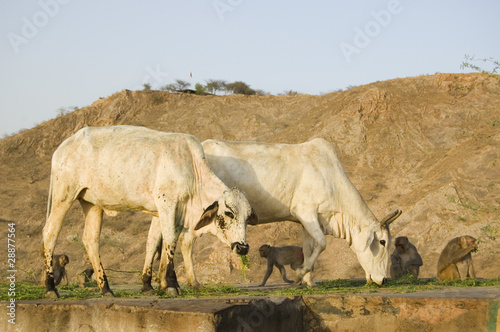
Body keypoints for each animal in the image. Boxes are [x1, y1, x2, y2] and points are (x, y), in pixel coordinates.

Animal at [42, 127, 258, 298]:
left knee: (90, 240)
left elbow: (154, 242)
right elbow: (169, 240)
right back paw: (51, 288)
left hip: (92, 203)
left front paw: (149, 285)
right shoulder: (167, 204)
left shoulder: (169, 212)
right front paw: (171, 284)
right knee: (50, 233)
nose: (243, 248)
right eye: (229, 213)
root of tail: (64, 147)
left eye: (248, 217)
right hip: (63, 196)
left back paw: (106, 288)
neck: (192, 170)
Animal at [146, 137, 402, 286]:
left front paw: (308, 282)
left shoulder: (307, 221)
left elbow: (309, 248)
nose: (383, 279)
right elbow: (321, 244)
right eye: (382, 242)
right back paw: (192, 282)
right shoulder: (307, 212)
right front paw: (300, 274)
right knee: (186, 240)